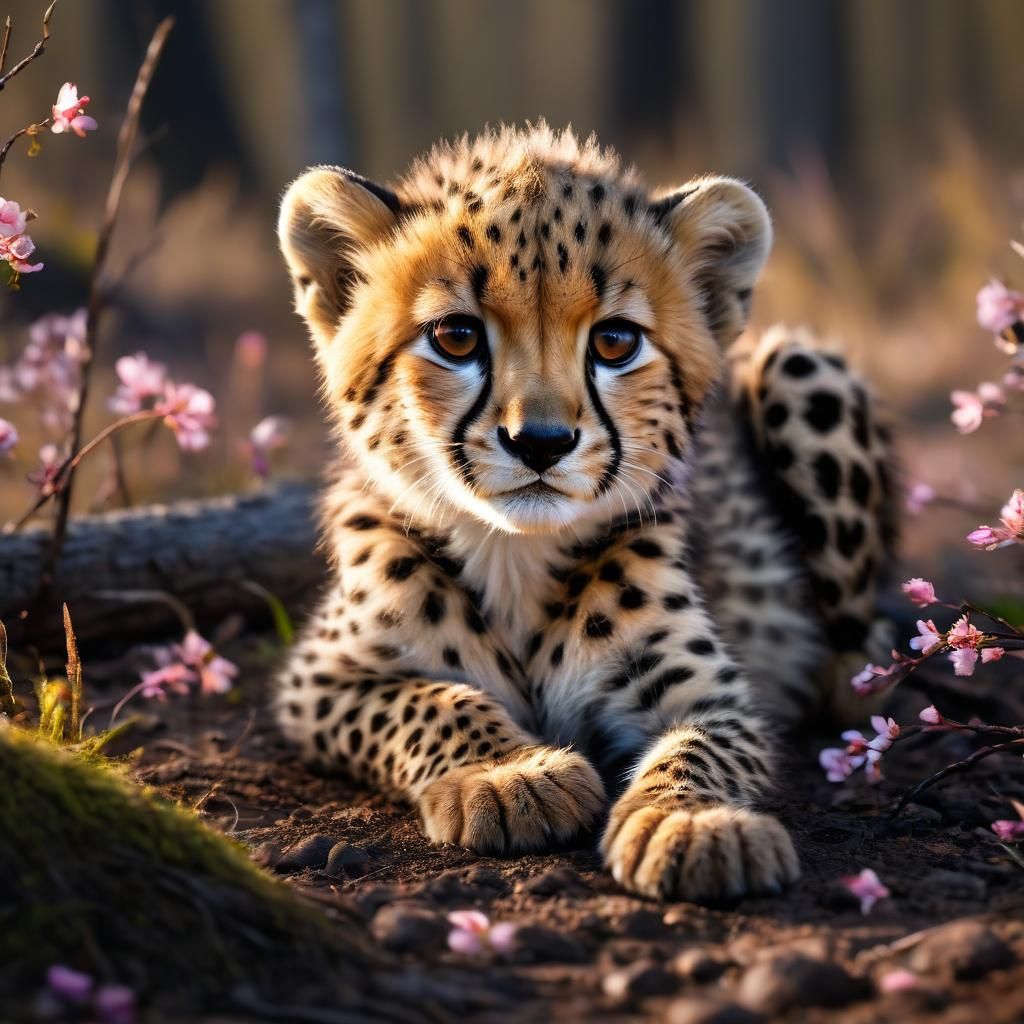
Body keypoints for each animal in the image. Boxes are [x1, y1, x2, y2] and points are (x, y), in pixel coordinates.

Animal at [274, 124, 896, 903]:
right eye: (456, 337)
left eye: (615, 341)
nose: (539, 441)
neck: (514, 553)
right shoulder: (319, 682)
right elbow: (431, 698)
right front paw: (511, 773)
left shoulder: (709, 694)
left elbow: (700, 748)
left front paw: (689, 822)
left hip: (796, 362)